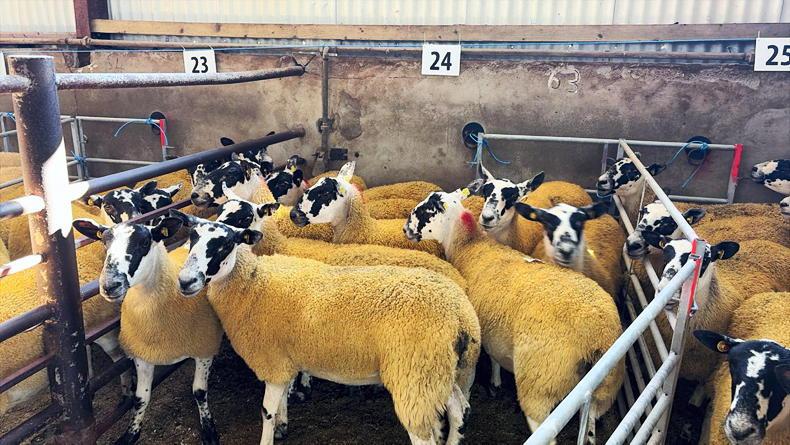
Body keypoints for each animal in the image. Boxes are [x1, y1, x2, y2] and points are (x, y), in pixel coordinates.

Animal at [73, 217, 223, 445]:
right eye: (104, 242)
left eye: (144, 243)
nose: (110, 286)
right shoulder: (142, 354)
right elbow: (140, 398)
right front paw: (131, 433)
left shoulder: (204, 348)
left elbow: (199, 391)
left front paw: (208, 429)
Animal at [172, 213, 481, 445]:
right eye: (192, 239)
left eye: (225, 245)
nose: (185, 281)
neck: (253, 283)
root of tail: (461, 314)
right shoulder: (284, 359)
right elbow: (281, 401)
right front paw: (283, 426)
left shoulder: (272, 361)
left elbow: (266, 411)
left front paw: (271, 433)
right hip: (436, 371)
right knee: (459, 411)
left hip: (413, 377)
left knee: (425, 433)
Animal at [403, 186, 624, 444]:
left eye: (425, 210)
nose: (406, 229)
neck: (468, 243)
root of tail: (596, 335)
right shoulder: (493, 327)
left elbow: (491, 359)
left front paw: (494, 382)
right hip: (603, 389)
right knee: (589, 423)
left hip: (541, 381)